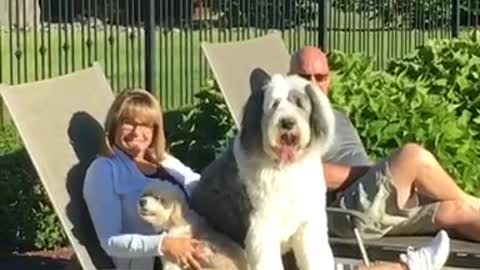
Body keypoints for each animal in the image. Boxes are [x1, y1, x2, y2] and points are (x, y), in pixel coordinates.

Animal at [190, 69, 334, 270]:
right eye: (275, 104)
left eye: (299, 104)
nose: (287, 122)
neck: (285, 169)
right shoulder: (261, 226)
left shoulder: (309, 224)